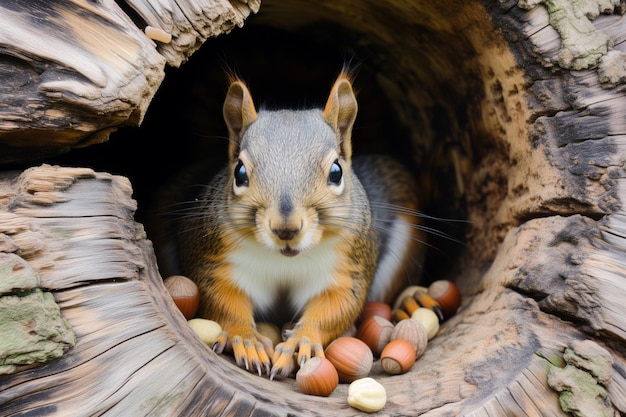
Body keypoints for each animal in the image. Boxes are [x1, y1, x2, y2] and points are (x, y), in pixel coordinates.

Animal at [154, 70, 422, 376]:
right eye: (239, 172)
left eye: (336, 172)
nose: (286, 229)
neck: (285, 260)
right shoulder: (212, 259)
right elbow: (220, 299)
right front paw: (246, 339)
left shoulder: (348, 269)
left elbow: (337, 306)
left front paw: (300, 340)